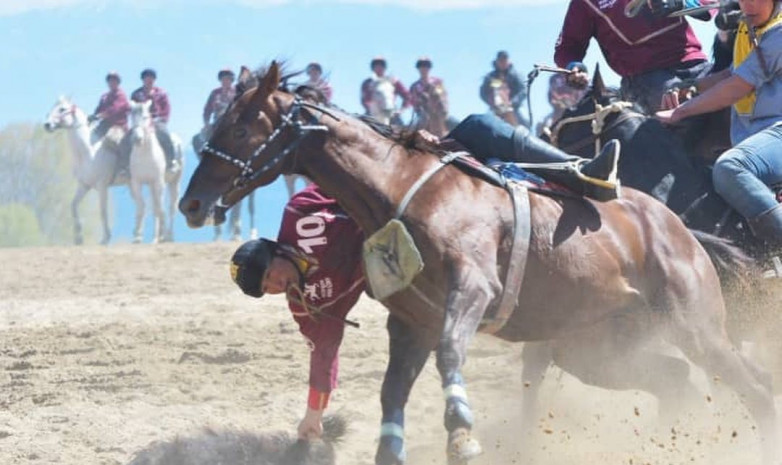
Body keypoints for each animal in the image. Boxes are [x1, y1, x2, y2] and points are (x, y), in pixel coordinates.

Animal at [42, 96, 121, 245]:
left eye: (62, 109)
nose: (47, 125)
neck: (89, 150)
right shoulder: (84, 185)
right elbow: (73, 206)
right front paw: (78, 237)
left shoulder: (102, 186)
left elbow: (103, 210)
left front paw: (105, 238)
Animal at [128, 101, 185, 243]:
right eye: (132, 117)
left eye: (145, 117)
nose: (137, 139)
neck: (145, 155)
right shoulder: (137, 183)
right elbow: (142, 206)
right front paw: (137, 237)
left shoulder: (158, 183)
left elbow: (159, 208)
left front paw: (159, 236)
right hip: (152, 186)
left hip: (174, 182)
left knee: (171, 207)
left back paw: (168, 236)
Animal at [181, 62, 780, 464]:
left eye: (239, 127)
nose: (190, 203)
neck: (400, 188)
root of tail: (679, 228)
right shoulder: (410, 323)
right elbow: (391, 389)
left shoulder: (471, 290)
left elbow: (451, 354)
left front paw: (463, 433)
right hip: (601, 348)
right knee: (679, 381)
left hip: (695, 326)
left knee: (750, 387)